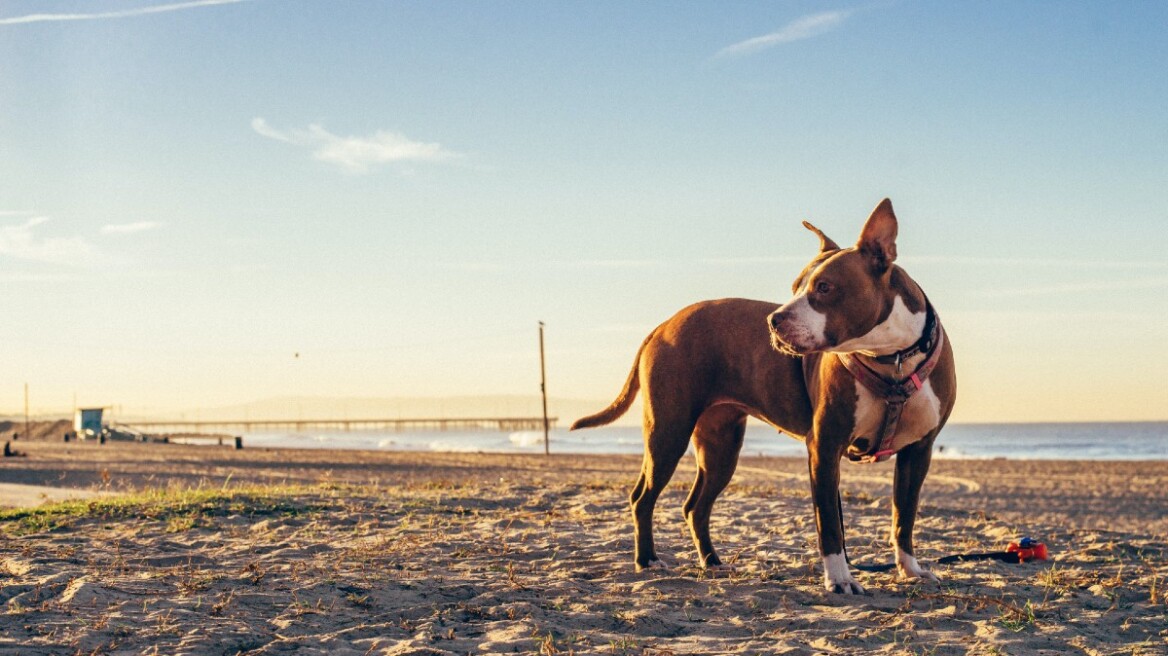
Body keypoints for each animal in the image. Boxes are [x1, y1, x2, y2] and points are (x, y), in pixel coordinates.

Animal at [572, 196, 957, 590]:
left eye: (824, 287)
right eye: (794, 287)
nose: (773, 320)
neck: (892, 358)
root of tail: (664, 325)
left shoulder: (918, 452)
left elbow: (904, 517)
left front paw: (910, 569)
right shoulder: (824, 447)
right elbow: (830, 524)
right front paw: (839, 579)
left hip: (721, 447)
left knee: (696, 506)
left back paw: (711, 562)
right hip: (668, 432)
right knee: (643, 497)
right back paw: (647, 560)